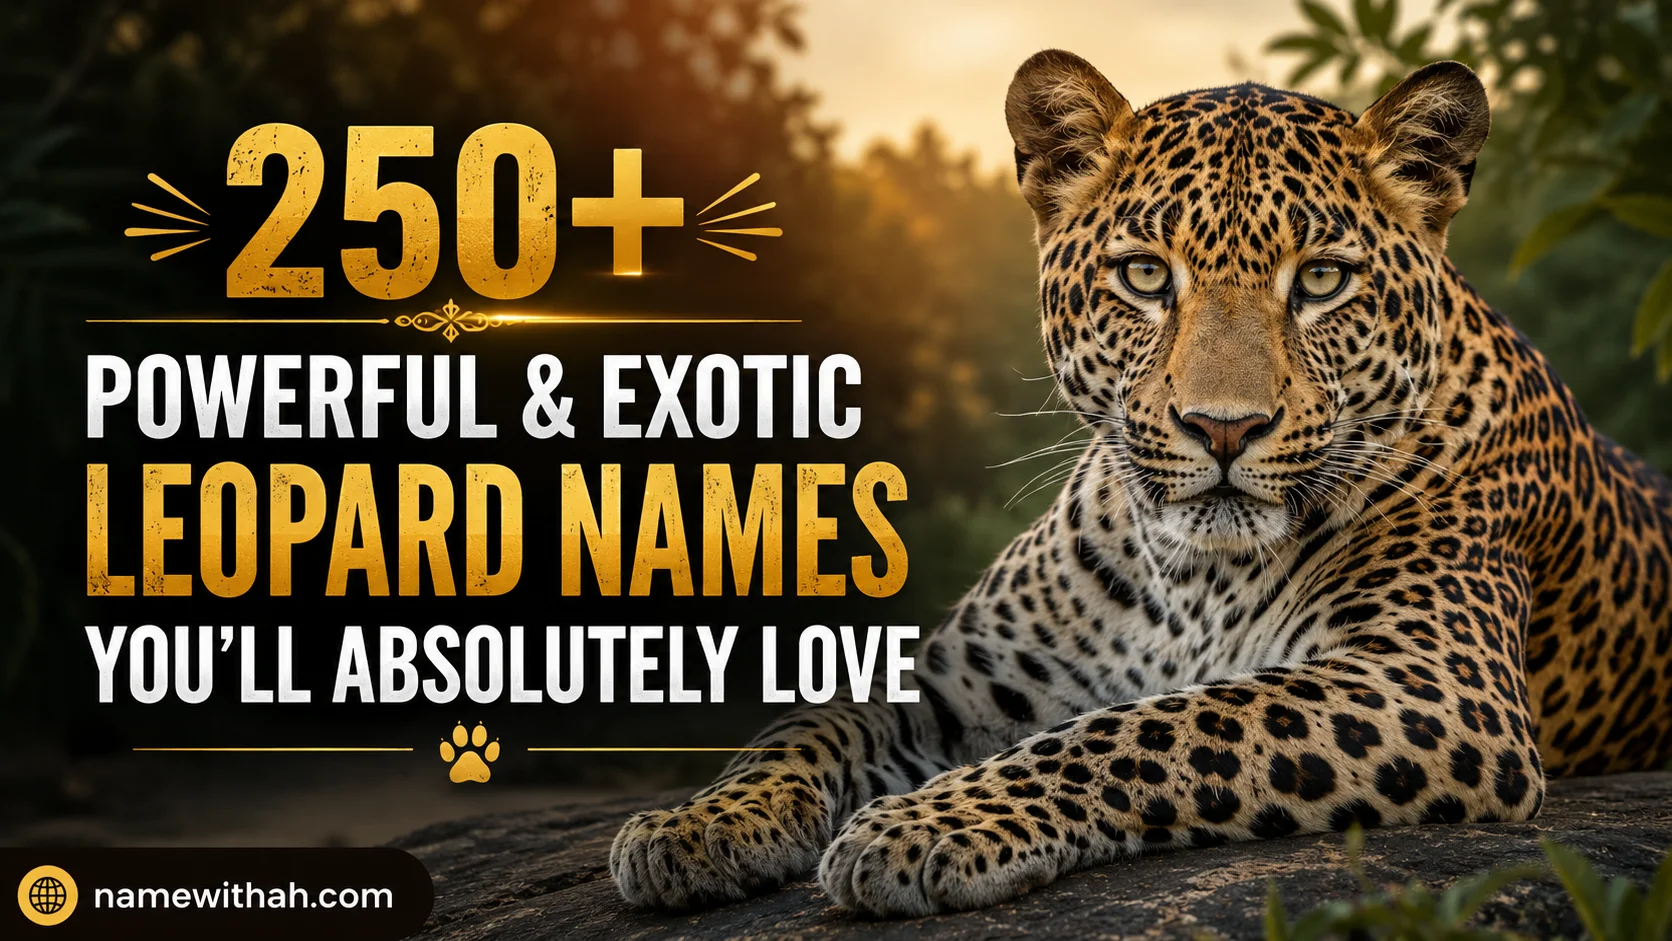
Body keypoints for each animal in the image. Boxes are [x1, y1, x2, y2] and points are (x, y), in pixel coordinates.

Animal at [610, 52, 1672, 918]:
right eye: (1147, 276)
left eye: (1323, 280)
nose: (1224, 426)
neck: (1195, 570)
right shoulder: (964, 677)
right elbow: (809, 722)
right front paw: (694, 825)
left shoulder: (1432, 683)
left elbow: (1155, 723)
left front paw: (920, 828)